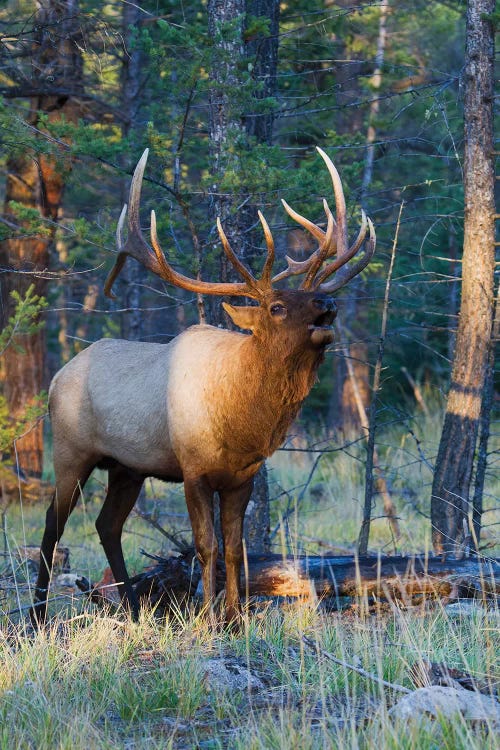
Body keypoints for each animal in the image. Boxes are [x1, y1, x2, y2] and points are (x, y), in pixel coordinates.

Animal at [30, 145, 376, 624]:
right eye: (276, 307)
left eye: (313, 294)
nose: (328, 303)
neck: (242, 422)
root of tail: (56, 377)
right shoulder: (193, 470)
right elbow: (205, 546)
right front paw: (208, 617)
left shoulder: (243, 476)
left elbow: (234, 548)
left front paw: (234, 617)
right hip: (71, 450)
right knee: (53, 522)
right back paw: (37, 616)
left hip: (127, 466)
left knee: (107, 525)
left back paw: (133, 608)